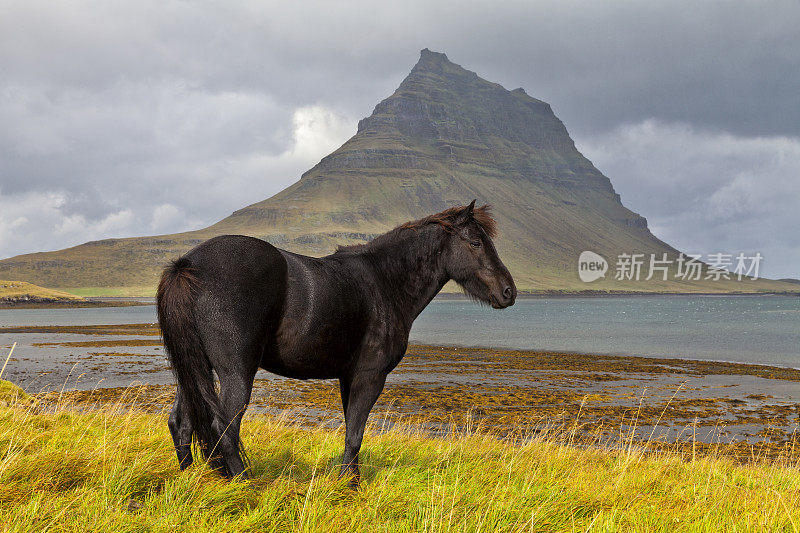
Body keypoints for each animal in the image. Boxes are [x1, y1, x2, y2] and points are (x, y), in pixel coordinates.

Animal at [156, 200, 516, 482]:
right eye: (475, 242)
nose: (509, 291)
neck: (384, 282)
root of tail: (188, 264)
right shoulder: (370, 376)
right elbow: (355, 433)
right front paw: (349, 486)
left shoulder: (348, 377)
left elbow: (350, 430)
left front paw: (349, 479)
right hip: (236, 373)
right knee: (224, 426)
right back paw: (244, 484)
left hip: (193, 368)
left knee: (181, 423)